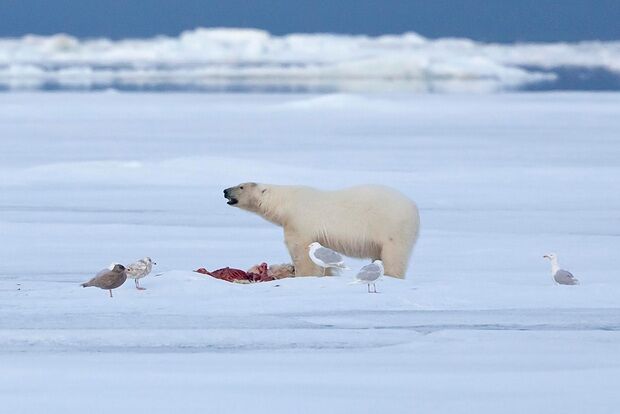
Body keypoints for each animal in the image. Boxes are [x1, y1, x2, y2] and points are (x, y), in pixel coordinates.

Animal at [223, 184, 422, 278]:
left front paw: (304, 275)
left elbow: (301, 251)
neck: (286, 203)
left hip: (392, 227)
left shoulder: (300, 221)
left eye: (241, 186)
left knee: (394, 255)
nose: (225, 191)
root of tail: (414, 207)